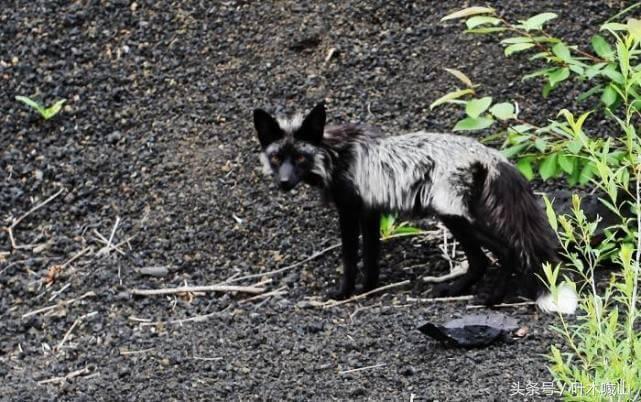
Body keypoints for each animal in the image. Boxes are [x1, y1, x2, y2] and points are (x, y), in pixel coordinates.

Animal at [252, 102, 576, 316]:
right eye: (277, 157)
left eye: (300, 158)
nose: (283, 183)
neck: (335, 154)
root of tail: (490, 154)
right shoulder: (370, 212)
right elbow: (371, 256)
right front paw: (367, 289)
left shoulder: (348, 211)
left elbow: (350, 257)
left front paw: (343, 293)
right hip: (459, 217)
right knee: (480, 261)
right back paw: (454, 291)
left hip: (453, 216)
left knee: (503, 251)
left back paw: (492, 299)